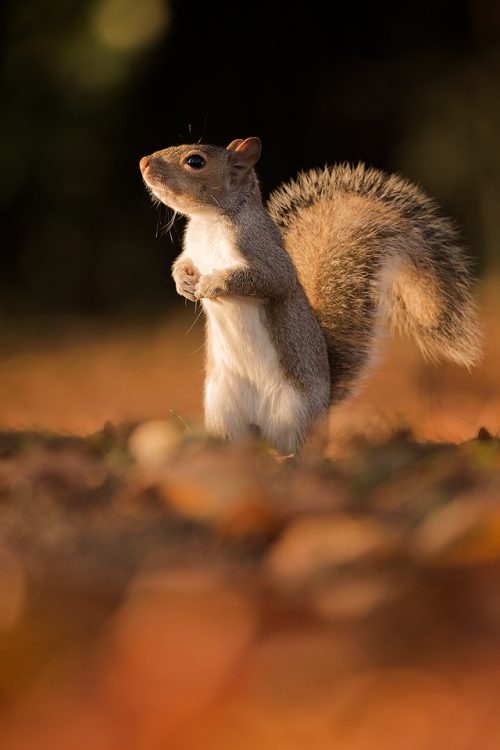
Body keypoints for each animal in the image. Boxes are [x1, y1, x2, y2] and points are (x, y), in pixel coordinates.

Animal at [139, 138, 482, 456]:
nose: (143, 162)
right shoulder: (192, 251)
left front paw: (212, 284)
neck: (208, 223)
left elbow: (271, 280)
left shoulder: (262, 251)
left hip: (295, 412)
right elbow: (183, 264)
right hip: (222, 409)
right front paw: (184, 283)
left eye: (195, 161)